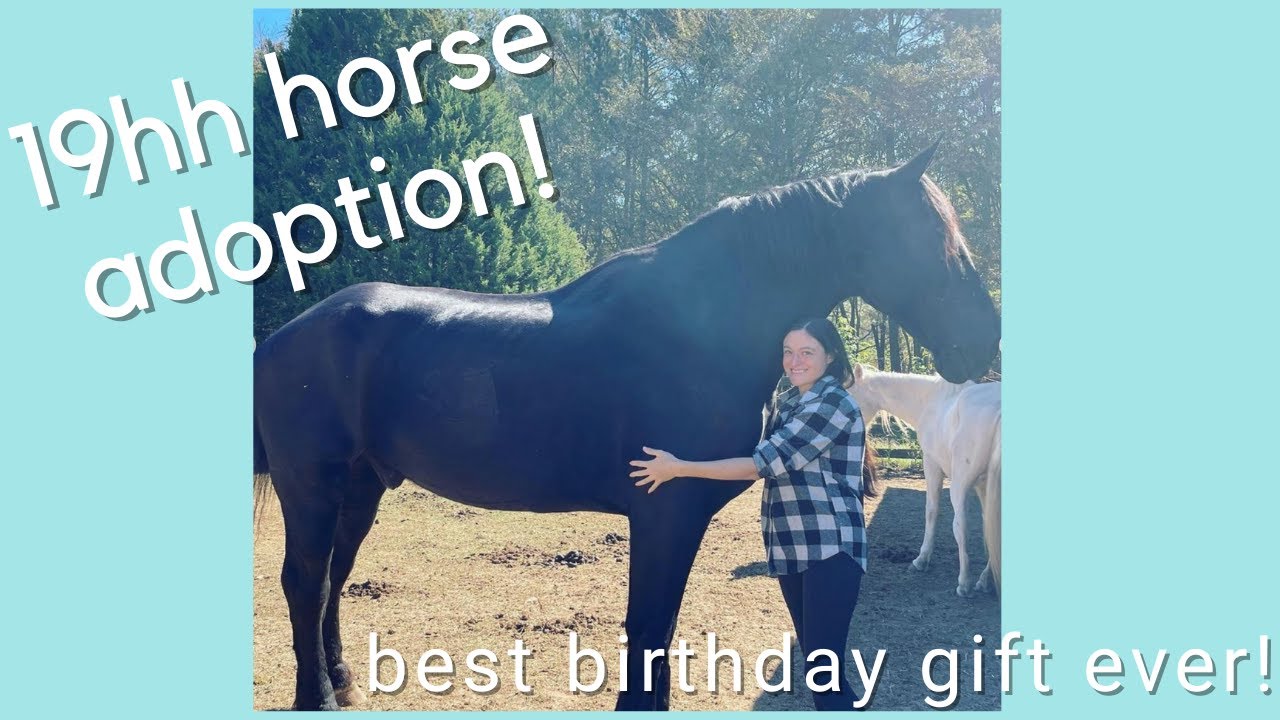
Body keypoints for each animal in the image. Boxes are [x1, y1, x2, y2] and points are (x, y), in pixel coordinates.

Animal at [847, 364, 1002, 597]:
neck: (930, 400)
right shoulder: (984, 487)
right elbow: (989, 527)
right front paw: (987, 578)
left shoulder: (932, 465)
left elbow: (931, 511)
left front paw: (921, 560)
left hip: (959, 485)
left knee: (960, 525)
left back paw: (964, 583)